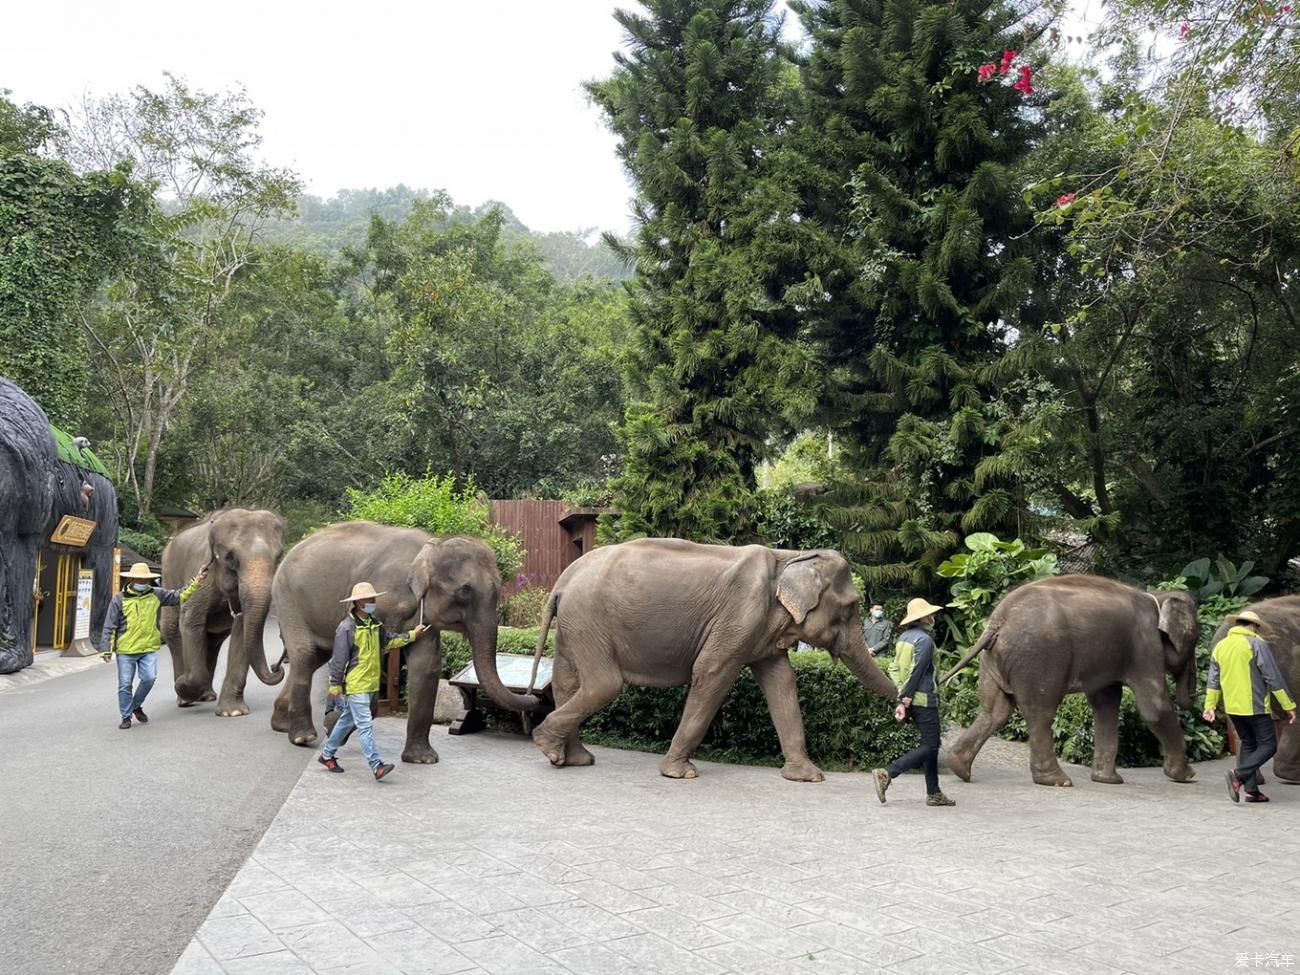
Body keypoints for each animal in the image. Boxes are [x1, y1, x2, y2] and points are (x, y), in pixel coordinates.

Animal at [160, 512, 287, 717]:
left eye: (279, 556)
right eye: (230, 557)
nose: (277, 667)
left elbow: (242, 629)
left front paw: (233, 713)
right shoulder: (201, 575)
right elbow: (190, 623)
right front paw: (182, 685)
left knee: (212, 641)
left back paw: (206, 695)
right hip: (169, 574)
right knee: (172, 629)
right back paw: (185, 698)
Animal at [269, 522, 538, 769]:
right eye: (464, 590)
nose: (533, 697)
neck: (430, 547)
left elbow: (427, 664)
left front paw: (422, 759)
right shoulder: (383, 598)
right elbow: (373, 660)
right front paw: (333, 726)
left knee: (316, 658)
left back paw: (282, 725)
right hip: (288, 599)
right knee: (305, 654)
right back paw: (303, 737)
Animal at [522, 538, 899, 785]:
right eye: (850, 607)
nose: (902, 704)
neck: (791, 557)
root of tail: (563, 579)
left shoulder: (763, 631)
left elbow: (782, 682)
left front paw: (809, 777)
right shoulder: (740, 616)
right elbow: (713, 673)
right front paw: (680, 774)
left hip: (572, 625)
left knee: (567, 682)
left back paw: (572, 759)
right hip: (588, 619)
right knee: (604, 684)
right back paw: (548, 746)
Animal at [935, 577, 1196, 790]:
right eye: (1195, 637)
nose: (1192, 699)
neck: (1158, 596)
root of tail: (998, 620)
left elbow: (1106, 705)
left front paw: (1108, 780)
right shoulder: (1145, 646)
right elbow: (1155, 708)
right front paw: (1185, 776)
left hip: (994, 659)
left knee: (995, 711)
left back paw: (959, 768)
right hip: (1039, 657)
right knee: (1041, 712)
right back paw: (1057, 781)